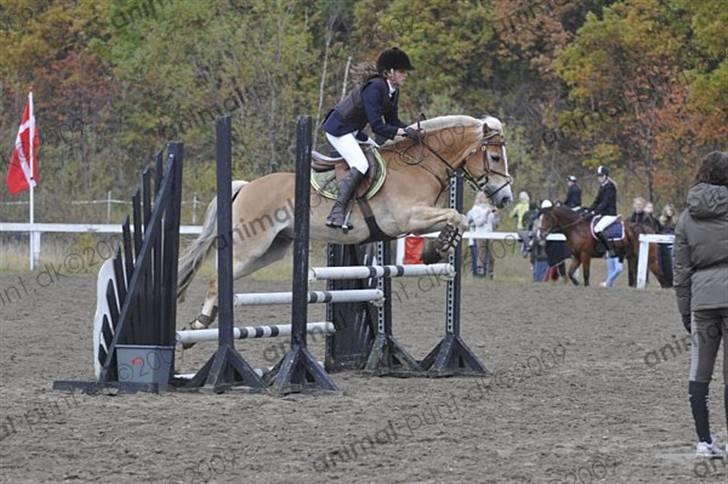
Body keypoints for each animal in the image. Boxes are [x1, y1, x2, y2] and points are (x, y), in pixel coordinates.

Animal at [179, 115, 516, 330]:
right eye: (495, 157)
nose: (505, 198)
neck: (421, 165)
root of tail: (247, 186)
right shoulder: (408, 216)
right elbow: (456, 216)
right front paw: (436, 249)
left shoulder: (417, 221)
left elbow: (456, 220)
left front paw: (437, 248)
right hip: (251, 246)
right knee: (216, 279)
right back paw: (201, 324)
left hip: (271, 250)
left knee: (225, 279)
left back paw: (205, 321)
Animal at [536, 205, 672, 288]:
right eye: (540, 218)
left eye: (547, 218)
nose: (540, 234)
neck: (576, 229)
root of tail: (646, 229)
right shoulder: (577, 257)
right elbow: (570, 273)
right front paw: (576, 284)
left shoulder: (585, 256)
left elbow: (586, 275)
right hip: (633, 258)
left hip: (650, 259)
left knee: (660, 276)